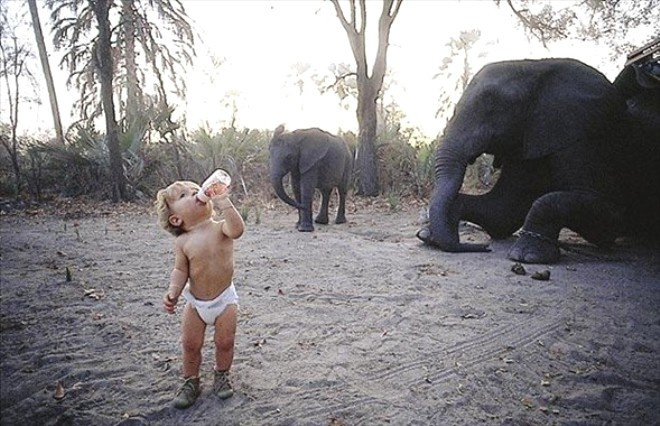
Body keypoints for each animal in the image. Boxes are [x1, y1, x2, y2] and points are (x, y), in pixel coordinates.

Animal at [418, 54, 660, 262]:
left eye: (491, 108)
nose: (483, 247)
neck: (536, 68)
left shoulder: (580, 133)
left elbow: (607, 218)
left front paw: (527, 256)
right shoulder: (530, 135)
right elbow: (501, 210)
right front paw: (429, 235)